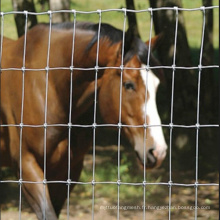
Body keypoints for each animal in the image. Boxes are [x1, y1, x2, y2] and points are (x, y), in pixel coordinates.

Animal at [0, 21, 168, 220]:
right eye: (129, 85)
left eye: (157, 86)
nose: (158, 151)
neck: (48, 85)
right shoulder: (26, 166)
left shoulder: (67, 170)